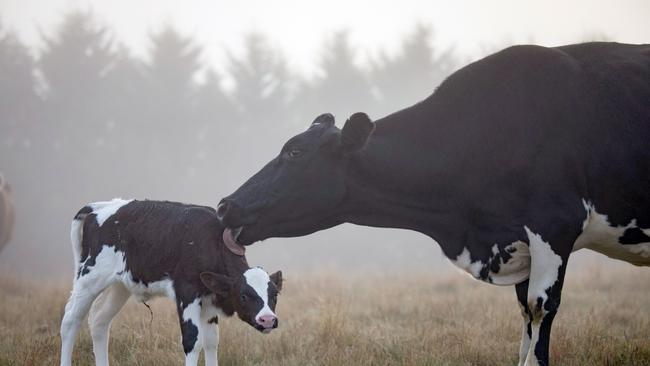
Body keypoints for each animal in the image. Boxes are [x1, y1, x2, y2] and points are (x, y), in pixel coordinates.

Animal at [60, 199, 280, 366]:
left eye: (275, 295)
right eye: (243, 295)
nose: (268, 319)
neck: (209, 241)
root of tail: (98, 206)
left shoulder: (209, 298)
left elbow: (211, 341)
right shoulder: (187, 292)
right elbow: (193, 340)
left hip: (119, 286)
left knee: (99, 320)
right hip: (89, 277)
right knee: (70, 321)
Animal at [214, 41, 648, 364]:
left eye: (295, 153)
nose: (225, 205)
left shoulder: (555, 225)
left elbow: (541, 308)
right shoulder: (520, 242)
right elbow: (525, 313)